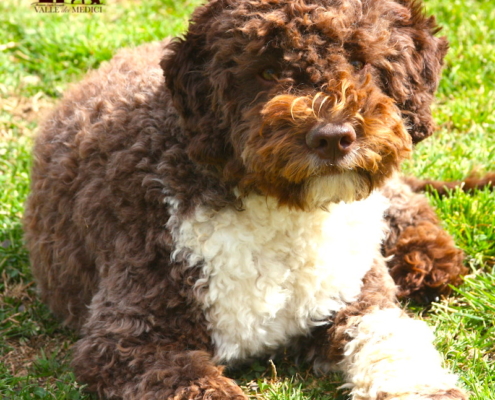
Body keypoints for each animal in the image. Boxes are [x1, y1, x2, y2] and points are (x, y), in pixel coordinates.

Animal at [24, 0, 472, 398]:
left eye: (360, 60)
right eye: (267, 71)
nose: (333, 137)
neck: (288, 216)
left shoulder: (356, 296)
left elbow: (392, 343)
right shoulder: (128, 339)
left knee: (401, 196)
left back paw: (427, 258)